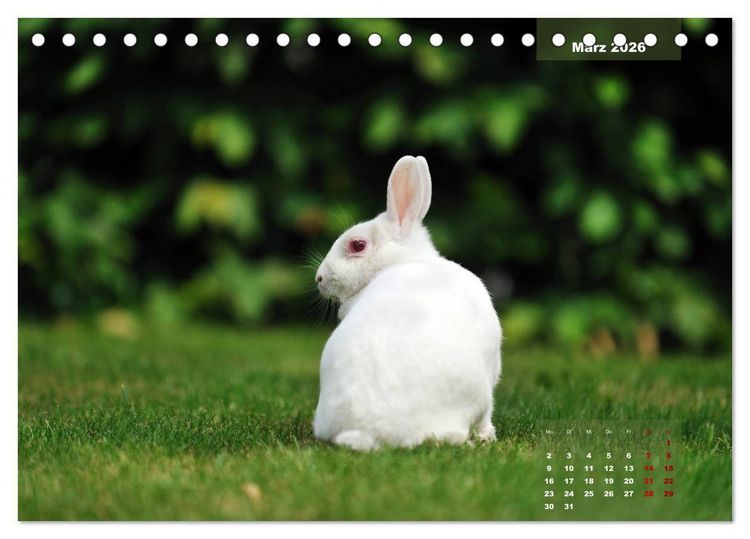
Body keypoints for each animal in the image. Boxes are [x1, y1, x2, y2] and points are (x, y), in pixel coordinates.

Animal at [312, 155, 502, 451]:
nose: (319, 278)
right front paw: (487, 436)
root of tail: (365, 431)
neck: (401, 260)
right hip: (478, 392)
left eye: (357, 245)